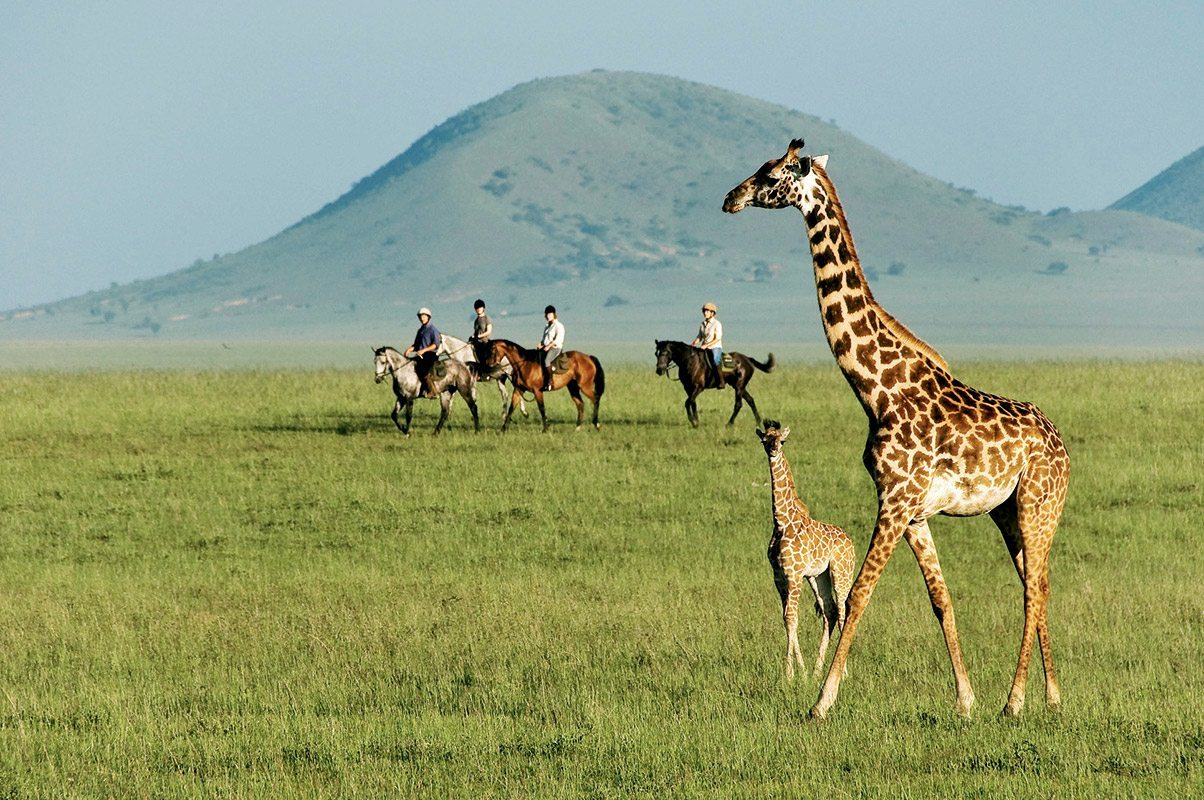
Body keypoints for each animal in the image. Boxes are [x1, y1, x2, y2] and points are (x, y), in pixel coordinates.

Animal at [760, 421, 857, 679]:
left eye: (782, 440)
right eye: (765, 440)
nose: (773, 450)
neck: (782, 521)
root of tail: (851, 542)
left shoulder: (794, 574)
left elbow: (792, 618)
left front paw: (790, 673)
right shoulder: (779, 577)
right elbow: (786, 618)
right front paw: (801, 672)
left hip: (841, 572)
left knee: (843, 612)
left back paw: (842, 673)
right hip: (818, 576)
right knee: (830, 611)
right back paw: (817, 671)